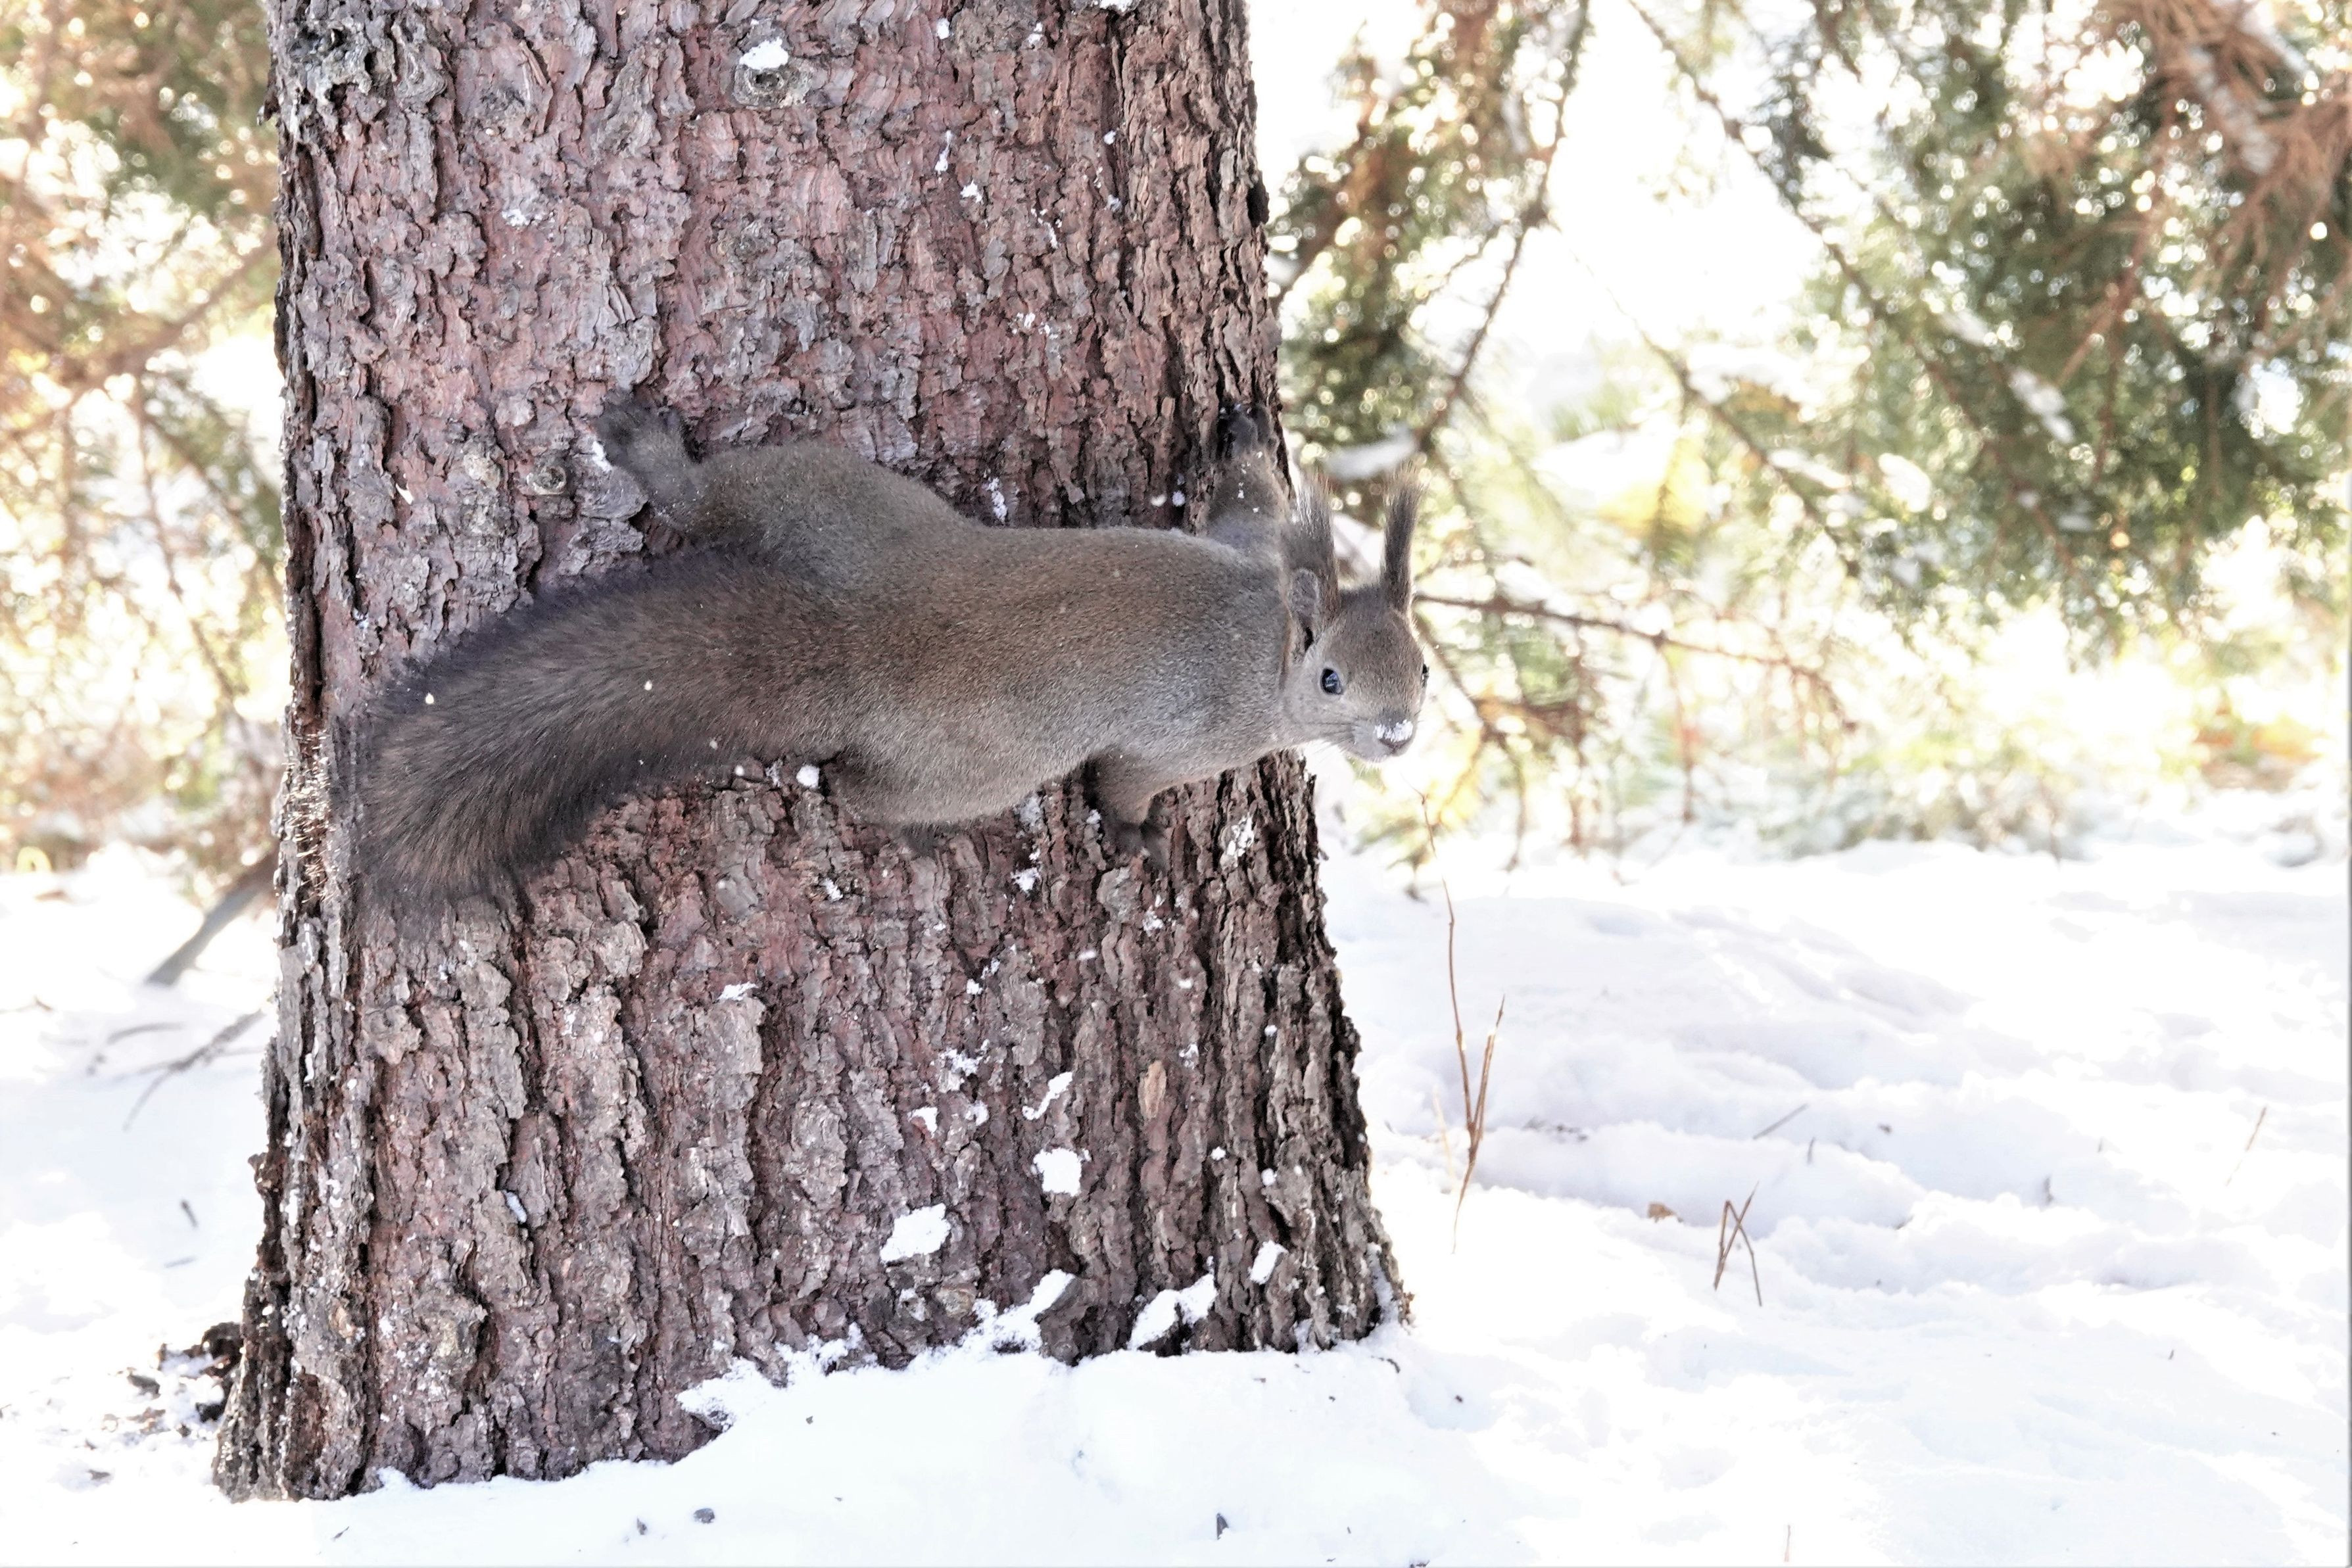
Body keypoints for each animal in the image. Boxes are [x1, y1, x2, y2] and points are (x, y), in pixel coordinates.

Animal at [355, 403, 1427, 901]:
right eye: (1332, 679)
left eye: (1420, 667)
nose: (1399, 732)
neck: (1267, 637)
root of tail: (855, 631)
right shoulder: (1193, 735)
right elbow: (1127, 781)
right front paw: (1135, 837)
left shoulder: (1258, 550)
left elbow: (1244, 501)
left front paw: (1244, 435)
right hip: (981, 759)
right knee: (860, 791)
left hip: (834, 503)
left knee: (711, 501)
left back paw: (657, 461)